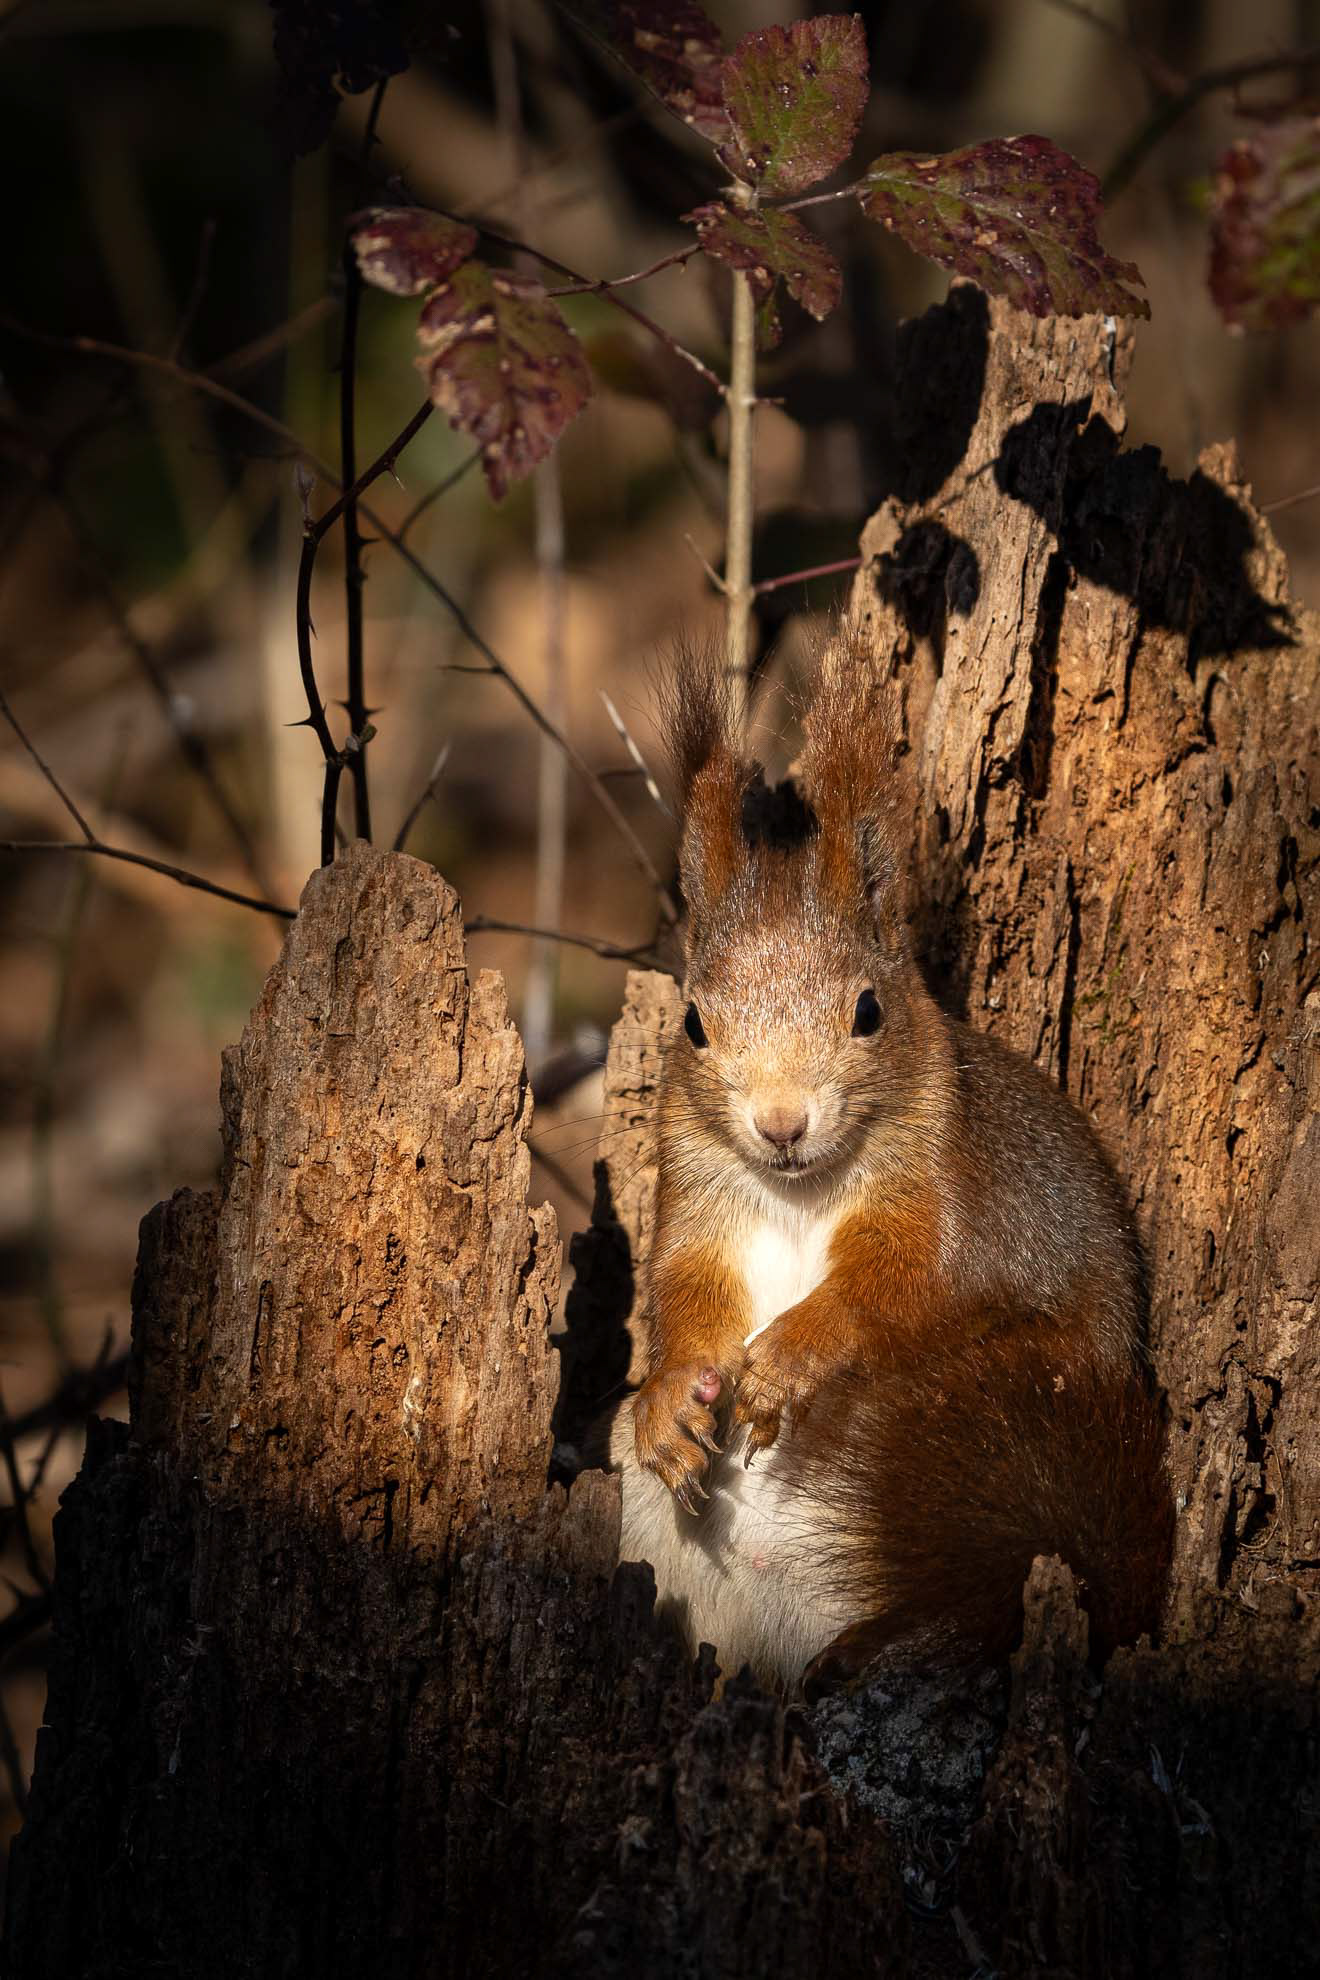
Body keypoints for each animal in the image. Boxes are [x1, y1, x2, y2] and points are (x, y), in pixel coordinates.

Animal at [611, 637, 1174, 1693]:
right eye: (695, 1024)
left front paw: (790, 1357)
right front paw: (669, 1397)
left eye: (869, 1010)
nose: (780, 1124)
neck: (798, 1191)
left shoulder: (948, 1194)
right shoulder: (697, 1193)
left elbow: (903, 1286)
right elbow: (681, 1286)